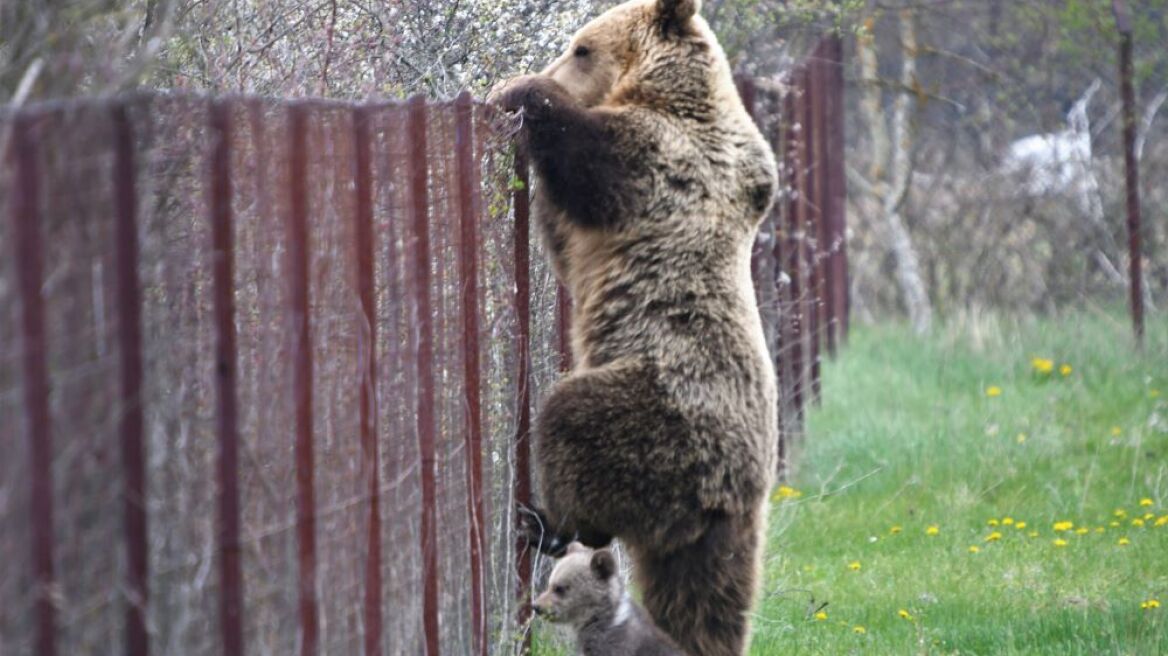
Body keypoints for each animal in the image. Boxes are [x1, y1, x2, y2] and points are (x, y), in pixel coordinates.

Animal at [488, 2, 780, 648]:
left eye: (581, 48)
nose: (559, 61)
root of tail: (730, 497)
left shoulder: (667, 164)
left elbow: (588, 157)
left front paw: (515, 88)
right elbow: (563, 237)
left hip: (663, 412)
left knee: (573, 420)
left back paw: (546, 521)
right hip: (706, 524)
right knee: (705, 593)